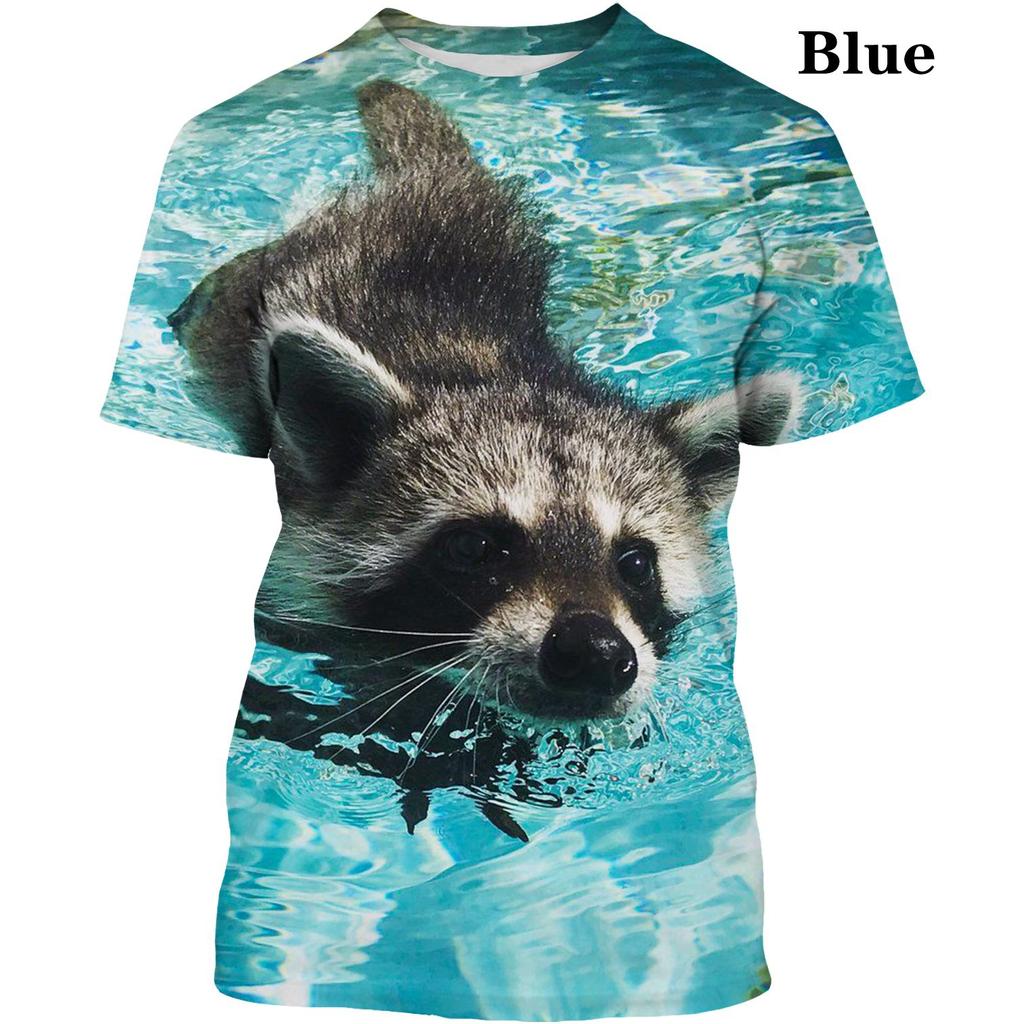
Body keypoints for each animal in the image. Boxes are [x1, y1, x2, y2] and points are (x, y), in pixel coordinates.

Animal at [170, 81, 800, 800]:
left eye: (636, 562)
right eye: (473, 547)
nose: (596, 652)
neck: (503, 375)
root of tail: (434, 186)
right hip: (229, 303)